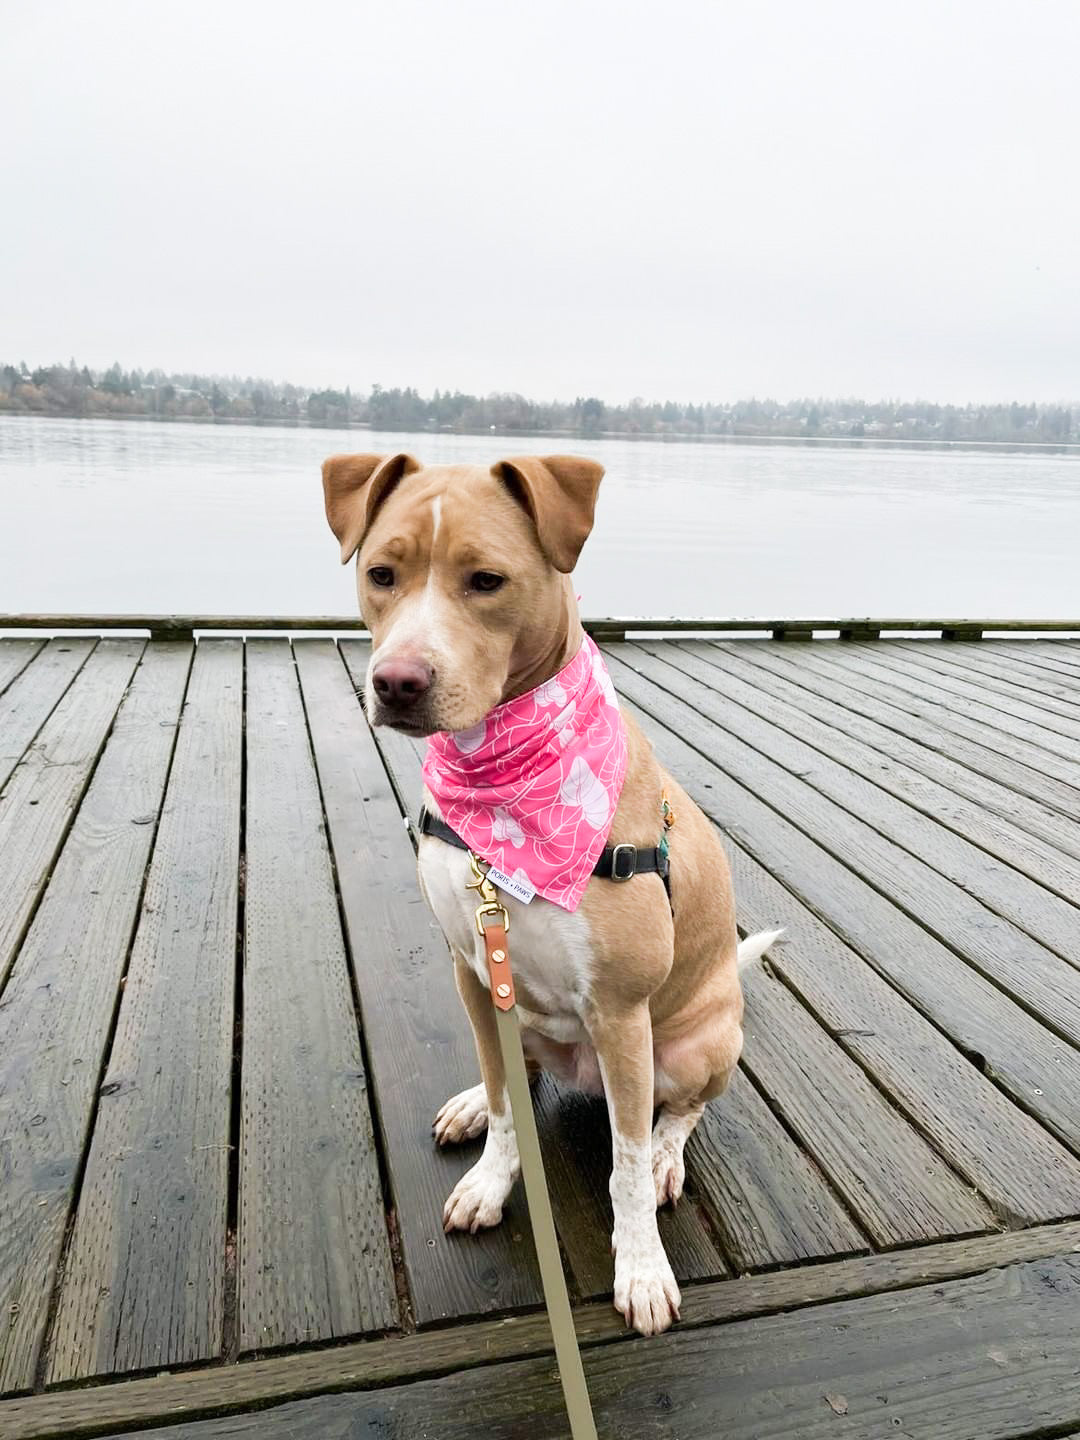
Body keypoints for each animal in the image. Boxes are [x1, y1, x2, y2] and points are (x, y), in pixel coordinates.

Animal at [321, 452, 777, 1336]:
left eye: (487, 580)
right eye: (381, 574)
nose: (396, 682)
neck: (502, 798)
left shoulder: (620, 1014)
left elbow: (623, 1168)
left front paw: (640, 1267)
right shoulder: (471, 970)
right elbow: (507, 1107)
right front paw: (491, 1174)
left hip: (695, 1045)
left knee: (681, 1113)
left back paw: (668, 1153)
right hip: (519, 1013)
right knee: (518, 1070)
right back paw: (473, 1100)